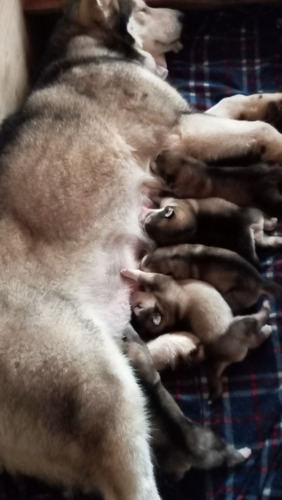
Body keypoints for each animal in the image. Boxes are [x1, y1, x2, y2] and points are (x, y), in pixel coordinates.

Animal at [141, 243, 282, 312]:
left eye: (143, 268)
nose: (140, 267)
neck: (174, 256)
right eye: (142, 262)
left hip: (233, 297)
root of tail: (260, 281)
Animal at [143, 195, 282, 268]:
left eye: (148, 219)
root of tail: (242, 227)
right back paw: (275, 225)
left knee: (271, 239)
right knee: (269, 226)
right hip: (257, 218)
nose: (144, 220)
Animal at [152, 151, 282, 216]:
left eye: (156, 161)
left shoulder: (181, 192)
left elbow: (169, 192)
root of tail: (273, 174)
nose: (154, 156)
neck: (189, 166)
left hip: (269, 196)